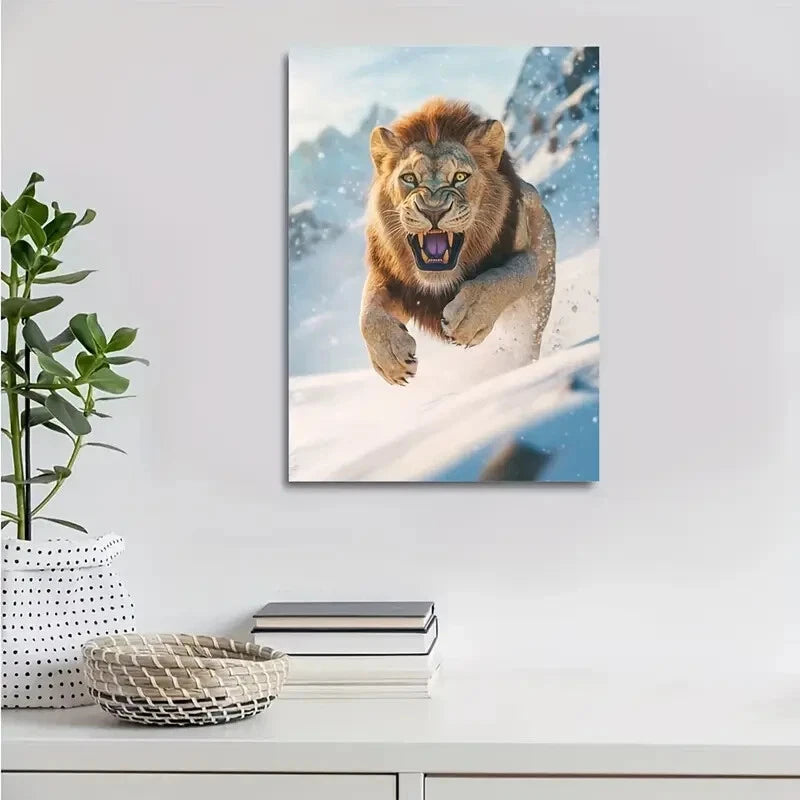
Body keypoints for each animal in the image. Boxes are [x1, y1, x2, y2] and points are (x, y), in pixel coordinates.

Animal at [360, 98, 556, 386]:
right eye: (409, 178)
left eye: (460, 177)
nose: (433, 211)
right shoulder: (389, 277)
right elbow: (368, 312)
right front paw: (392, 359)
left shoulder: (530, 249)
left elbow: (511, 273)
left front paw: (468, 318)